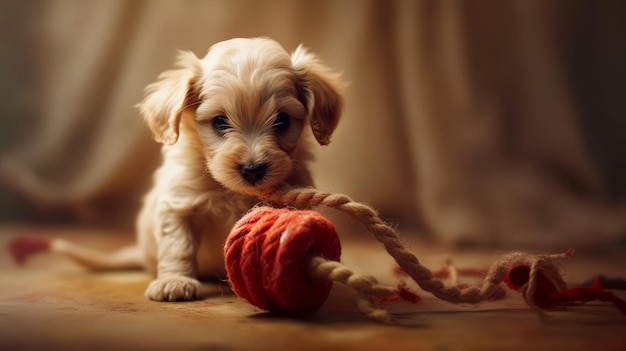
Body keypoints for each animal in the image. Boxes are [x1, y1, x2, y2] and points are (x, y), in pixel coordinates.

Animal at [12, 37, 344, 302]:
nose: (252, 168)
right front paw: (174, 282)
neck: (231, 191)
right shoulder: (179, 205)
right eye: (220, 122)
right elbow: (178, 245)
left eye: (282, 120)